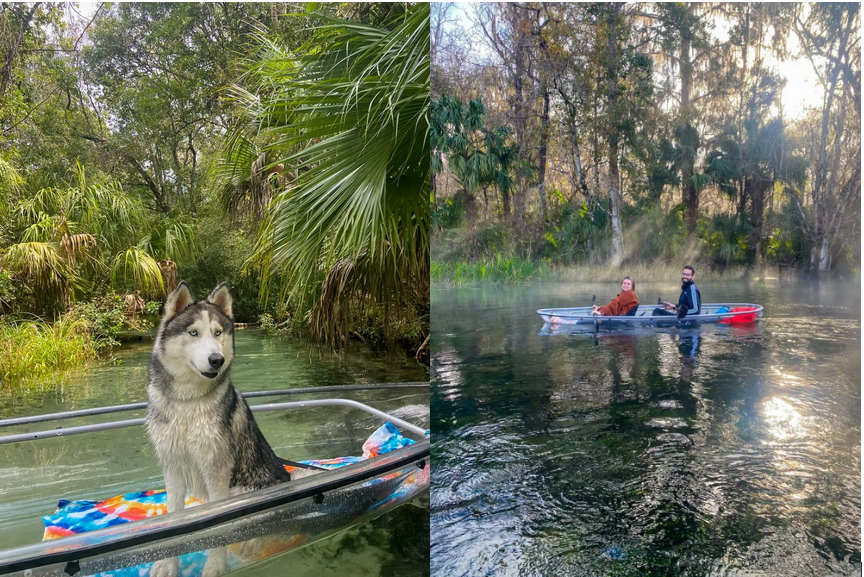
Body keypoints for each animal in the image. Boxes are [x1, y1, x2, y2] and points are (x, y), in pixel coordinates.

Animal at [148, 282, 308, 576]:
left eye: (218, 332)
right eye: (193, 332)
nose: (216, 360)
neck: (188, 402)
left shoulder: (217, 472)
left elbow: (220, 526)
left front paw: (214, 566)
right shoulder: (172, 466)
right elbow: (173, 519)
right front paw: (167, 564)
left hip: (243, 491)